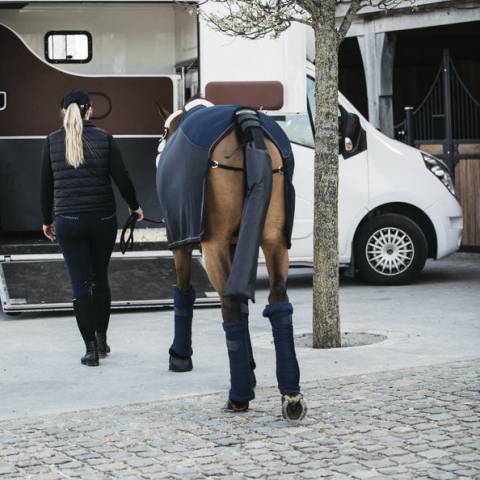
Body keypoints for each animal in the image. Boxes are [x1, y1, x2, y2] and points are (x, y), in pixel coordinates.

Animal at [158, 100, 308, 420]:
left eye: (164, 130)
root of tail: (244, 117)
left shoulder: (183, 244)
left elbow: (184, 294)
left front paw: (180, 356)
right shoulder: (238, 244)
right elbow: (244, 306)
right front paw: (251, 369)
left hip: (213, 245)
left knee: (227, 304)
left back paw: (238, 396)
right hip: (275, 241)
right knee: (278, 300)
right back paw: (290, 394)